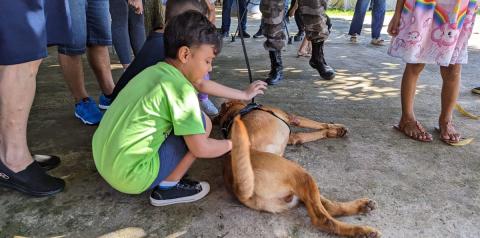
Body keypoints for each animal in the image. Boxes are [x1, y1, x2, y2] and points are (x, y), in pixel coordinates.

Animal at [216, 101, 380, 238]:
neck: (236, 111)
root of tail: (238, 188)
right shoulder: (292, 117)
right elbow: (320, 125)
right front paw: (335, 128)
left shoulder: (293, 137)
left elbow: (308, 134)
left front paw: (333, 132)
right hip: (300, 173)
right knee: (322, 218)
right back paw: (361, 231)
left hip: (300, 184)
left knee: (330, 206)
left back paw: (362, 207)